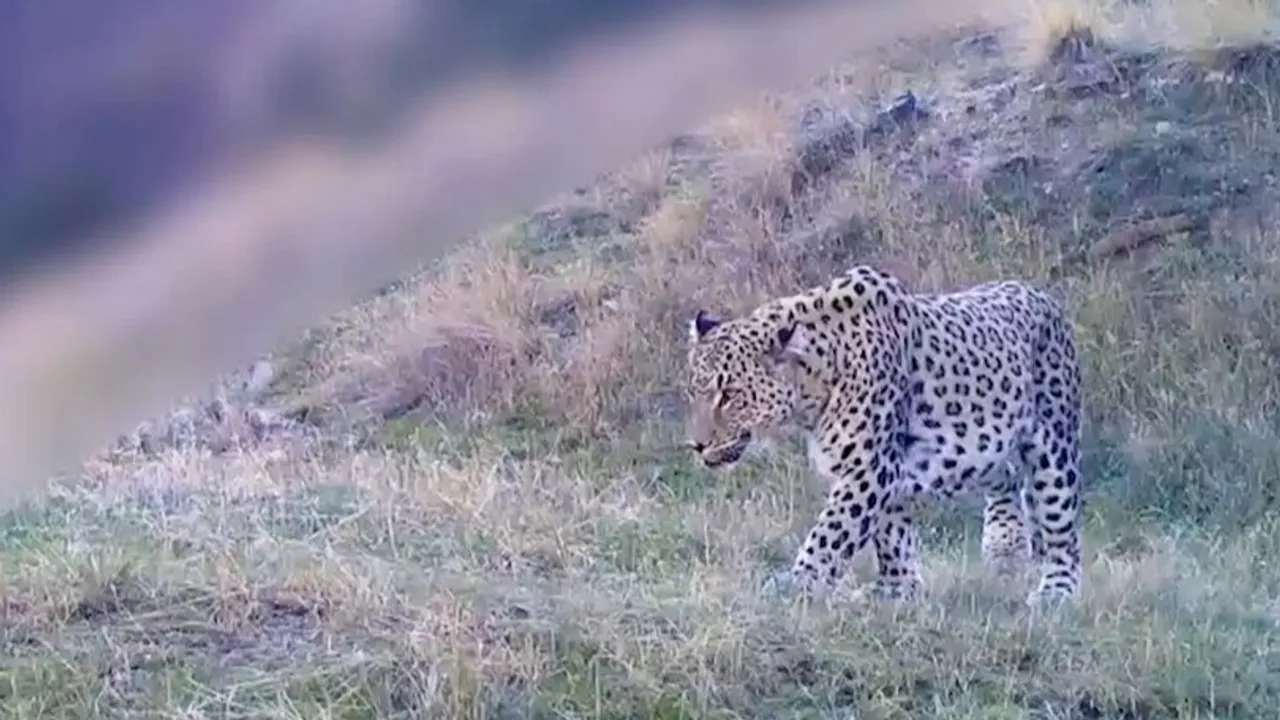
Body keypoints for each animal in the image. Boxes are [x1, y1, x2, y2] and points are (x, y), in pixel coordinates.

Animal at [683, 265, 1083, 608]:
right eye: (693, 392)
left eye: (729, 395)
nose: (697, 445)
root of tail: (1042, 295)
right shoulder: (886, 470)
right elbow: (892, 535)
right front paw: (899, 589)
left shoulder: (870, 468)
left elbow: (831, 533)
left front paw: (796, 585)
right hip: (980, 450)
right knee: (1007, 474)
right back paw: (1005, 546)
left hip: (1053, 446)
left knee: (1060, 523)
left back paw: (1057, 591)